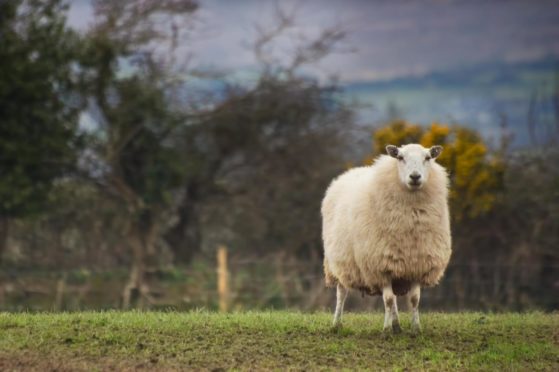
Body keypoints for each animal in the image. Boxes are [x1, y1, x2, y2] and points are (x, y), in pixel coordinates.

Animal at [322, 144, 452, 332]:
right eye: (400, 157)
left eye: (428, 158)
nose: (415, 177)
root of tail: (348, 173)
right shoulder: (380, 266)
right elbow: (388, 300)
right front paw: (386, 330)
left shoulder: (416, 264)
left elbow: (414, 300)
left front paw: (415, 329)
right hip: (340, 262)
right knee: (341, 293)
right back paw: (336, 324)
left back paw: (397, 325)